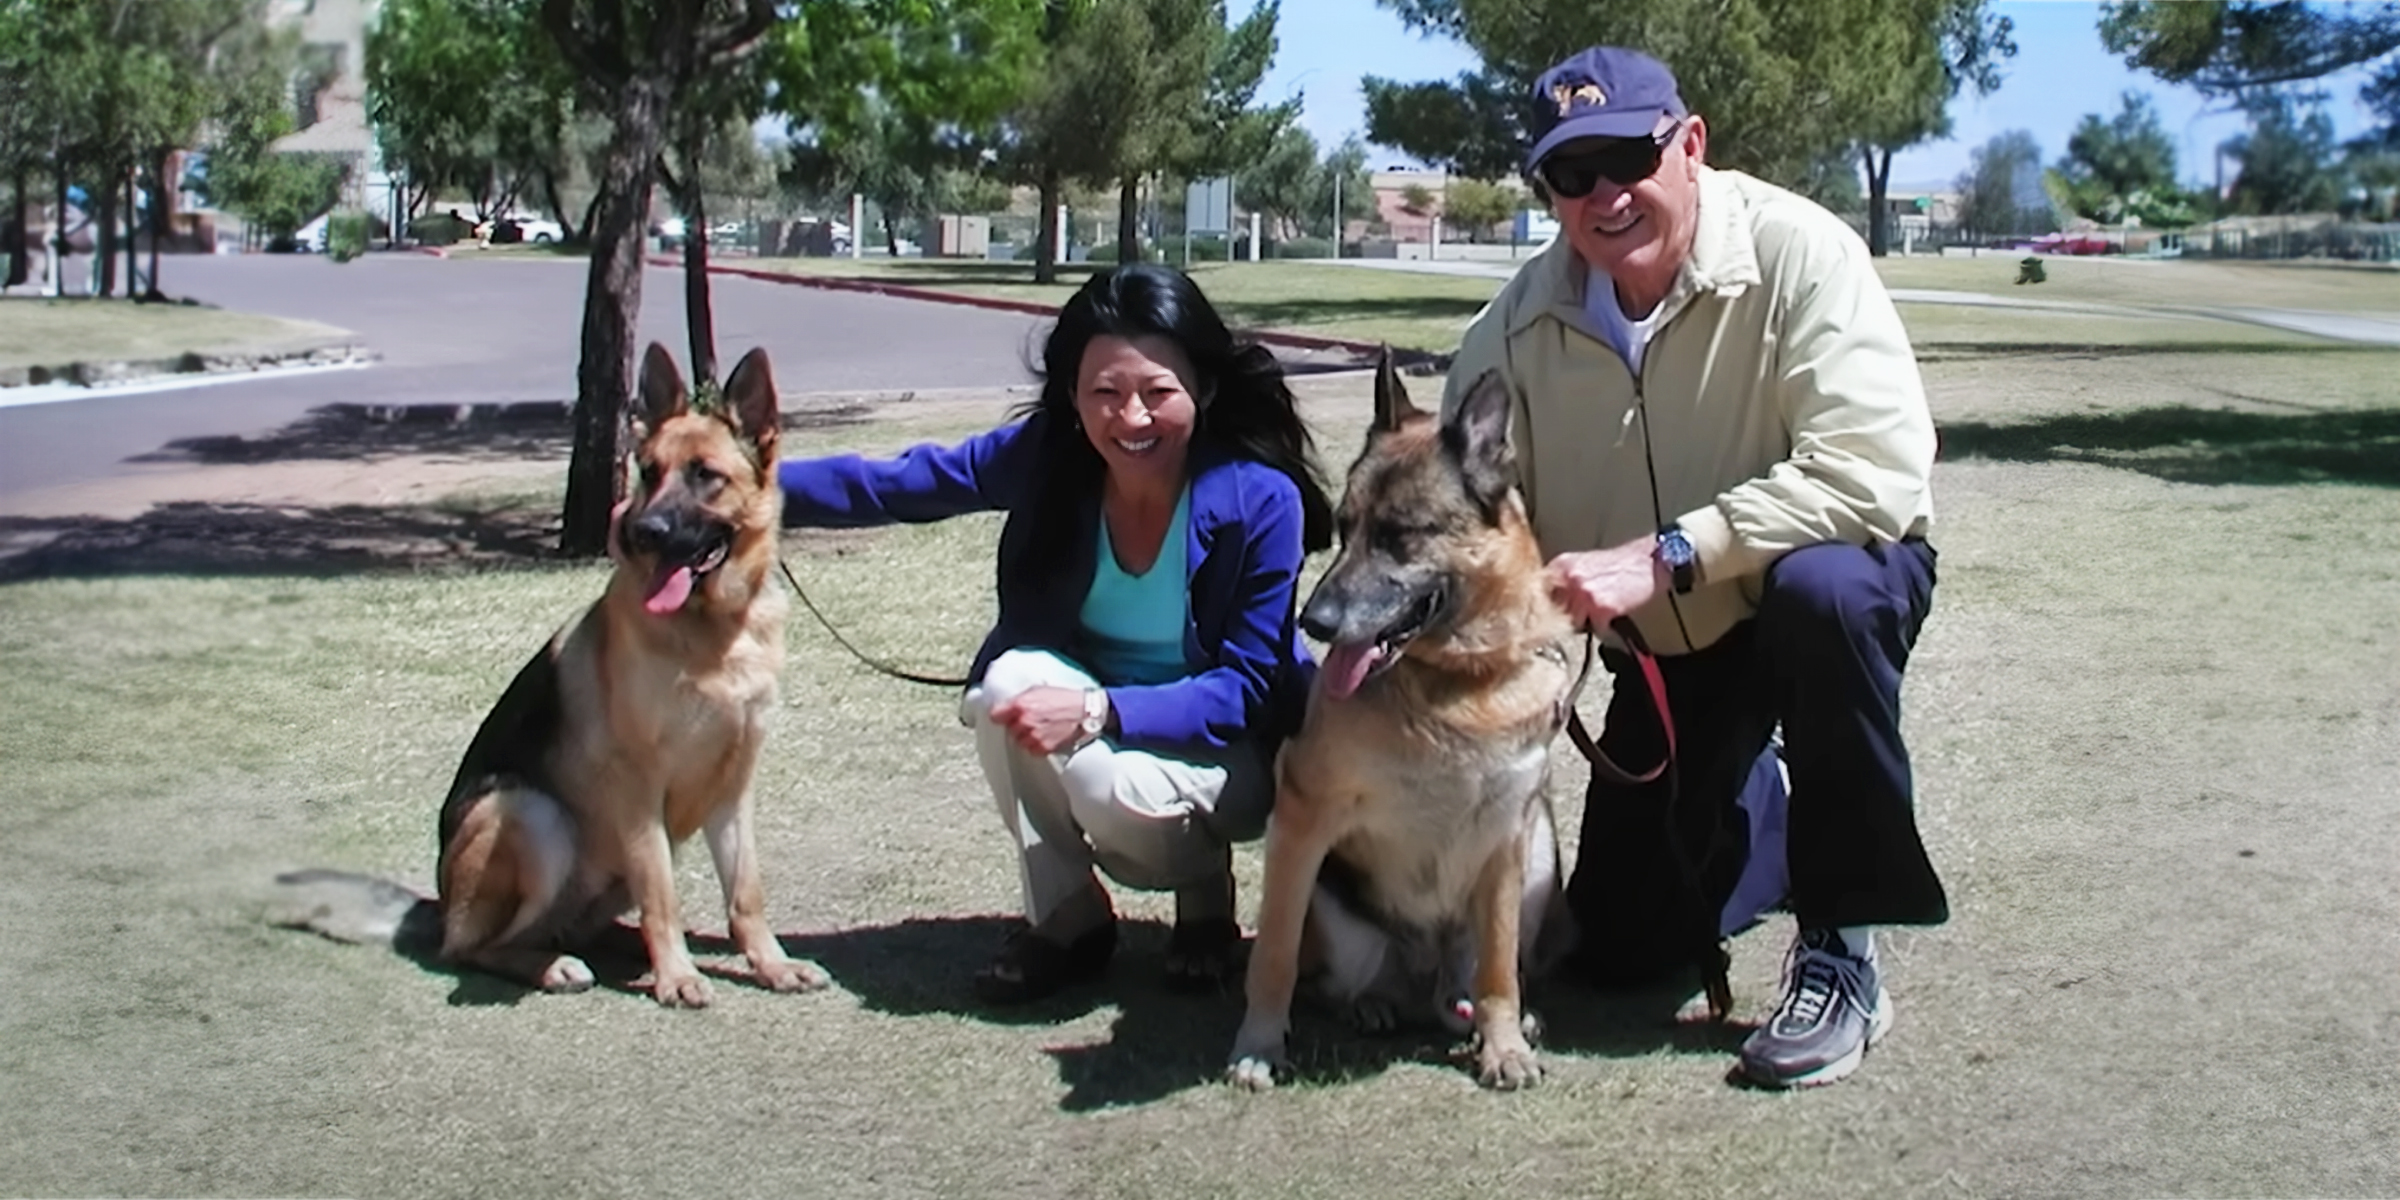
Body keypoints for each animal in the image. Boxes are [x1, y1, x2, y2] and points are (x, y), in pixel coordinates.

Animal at [274, 345, 825, 1003]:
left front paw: (771, 964)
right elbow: (662, 897)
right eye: (648, 471)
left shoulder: (733, 786)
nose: (641, 533)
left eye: (704, 475)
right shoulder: (639, 788)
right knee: (474, 946)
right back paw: (555, 965)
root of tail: (437, 908)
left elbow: (746, 894)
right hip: (530, 816)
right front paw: (677, 976)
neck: (713, 633)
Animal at [1228, 352, 1584, 1089]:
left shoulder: (1509, 835)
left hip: (1539, 857)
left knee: (1470, 987)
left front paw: (1504, 1046)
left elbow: (1500, 972)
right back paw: (1371, 1006)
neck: (1459, 680)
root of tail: (1422, 981)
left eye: (1398, 536)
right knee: (1331, 983)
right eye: (1343, 528)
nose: (1314, 623)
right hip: (1334, 908)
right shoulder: (1301, 817)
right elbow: (1273, 955)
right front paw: (1259, 1045)